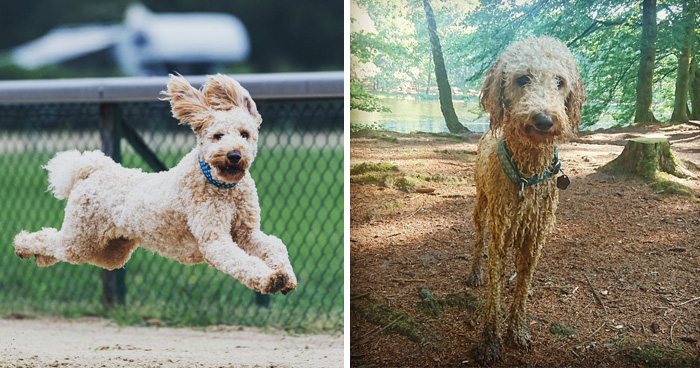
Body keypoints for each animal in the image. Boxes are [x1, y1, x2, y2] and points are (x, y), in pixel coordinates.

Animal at [13, 73, 296, 294]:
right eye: (217, 136)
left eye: (245, 134)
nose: (234, 155)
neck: (220, 186)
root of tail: (91, 170)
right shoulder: (215, 239)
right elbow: (241, 261)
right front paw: (269, 279)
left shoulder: (247, 233)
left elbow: (275, 244)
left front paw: (285, 275)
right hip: (80, 238)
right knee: (51, 240)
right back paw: (22, 245)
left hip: (110, 252)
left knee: (58, 246)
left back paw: (39, 258)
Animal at [468, 37, 588, 362]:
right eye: (523, 78)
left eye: (560, 81)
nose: (544, 119)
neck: (528, 173)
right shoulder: (500, 238)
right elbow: (495, 294)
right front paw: (490, 339)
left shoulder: (534, 240)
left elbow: (521, 287)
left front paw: (517, 330)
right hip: (481, 207)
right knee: (478, 241)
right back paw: (475, 273)